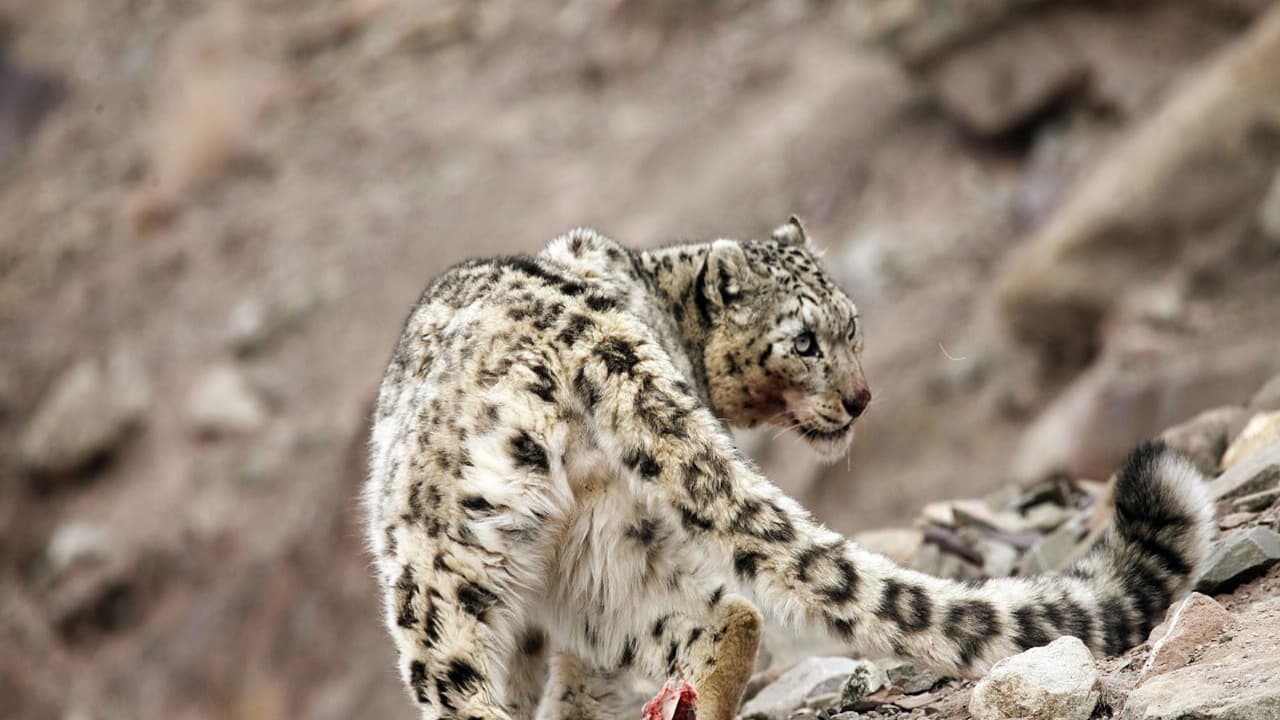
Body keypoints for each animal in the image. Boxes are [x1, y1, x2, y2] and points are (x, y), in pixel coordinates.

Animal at [364, 217, 1214, 720]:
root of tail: (591, 329)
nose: (861, 398)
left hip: (444, 569)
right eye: (805, 340)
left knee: (462, 679)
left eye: (851, 327)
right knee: (726, 618)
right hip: (600, 556)